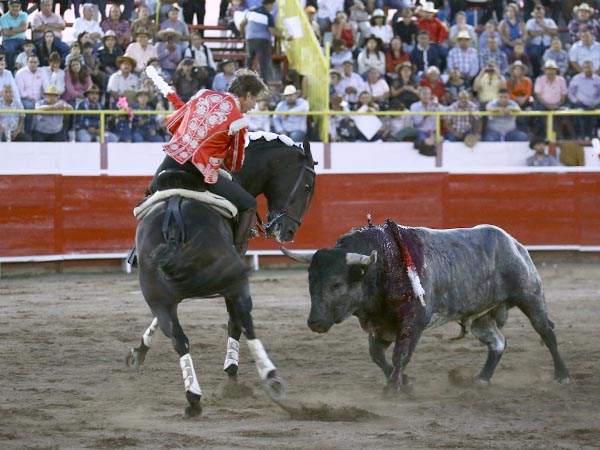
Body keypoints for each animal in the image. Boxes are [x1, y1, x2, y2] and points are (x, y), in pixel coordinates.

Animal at [125, 135, 316, 416]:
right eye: (307, 186)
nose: (288, 232)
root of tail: (173, 221)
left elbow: (158, 322)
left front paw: (139, 350)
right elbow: (234, 322)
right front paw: (232, 373)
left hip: (155, 291)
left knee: (179, 338)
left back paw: (193, 398)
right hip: (234, 279)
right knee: (244, 321)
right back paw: (269, 377)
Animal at [282, 221, 572, 394]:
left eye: (336, 284)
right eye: (310, 281)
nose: (315, 323)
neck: (383, 264)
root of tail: (514, 243)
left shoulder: (414, 321)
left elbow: (400, 356)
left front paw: (393, 389)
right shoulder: (381, 325)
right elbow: (378, 356)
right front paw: (405, 383)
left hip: (529, 295)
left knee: (546, 331)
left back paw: (562, 375)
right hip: (481, 317)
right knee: (498, 342)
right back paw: (481, 378)